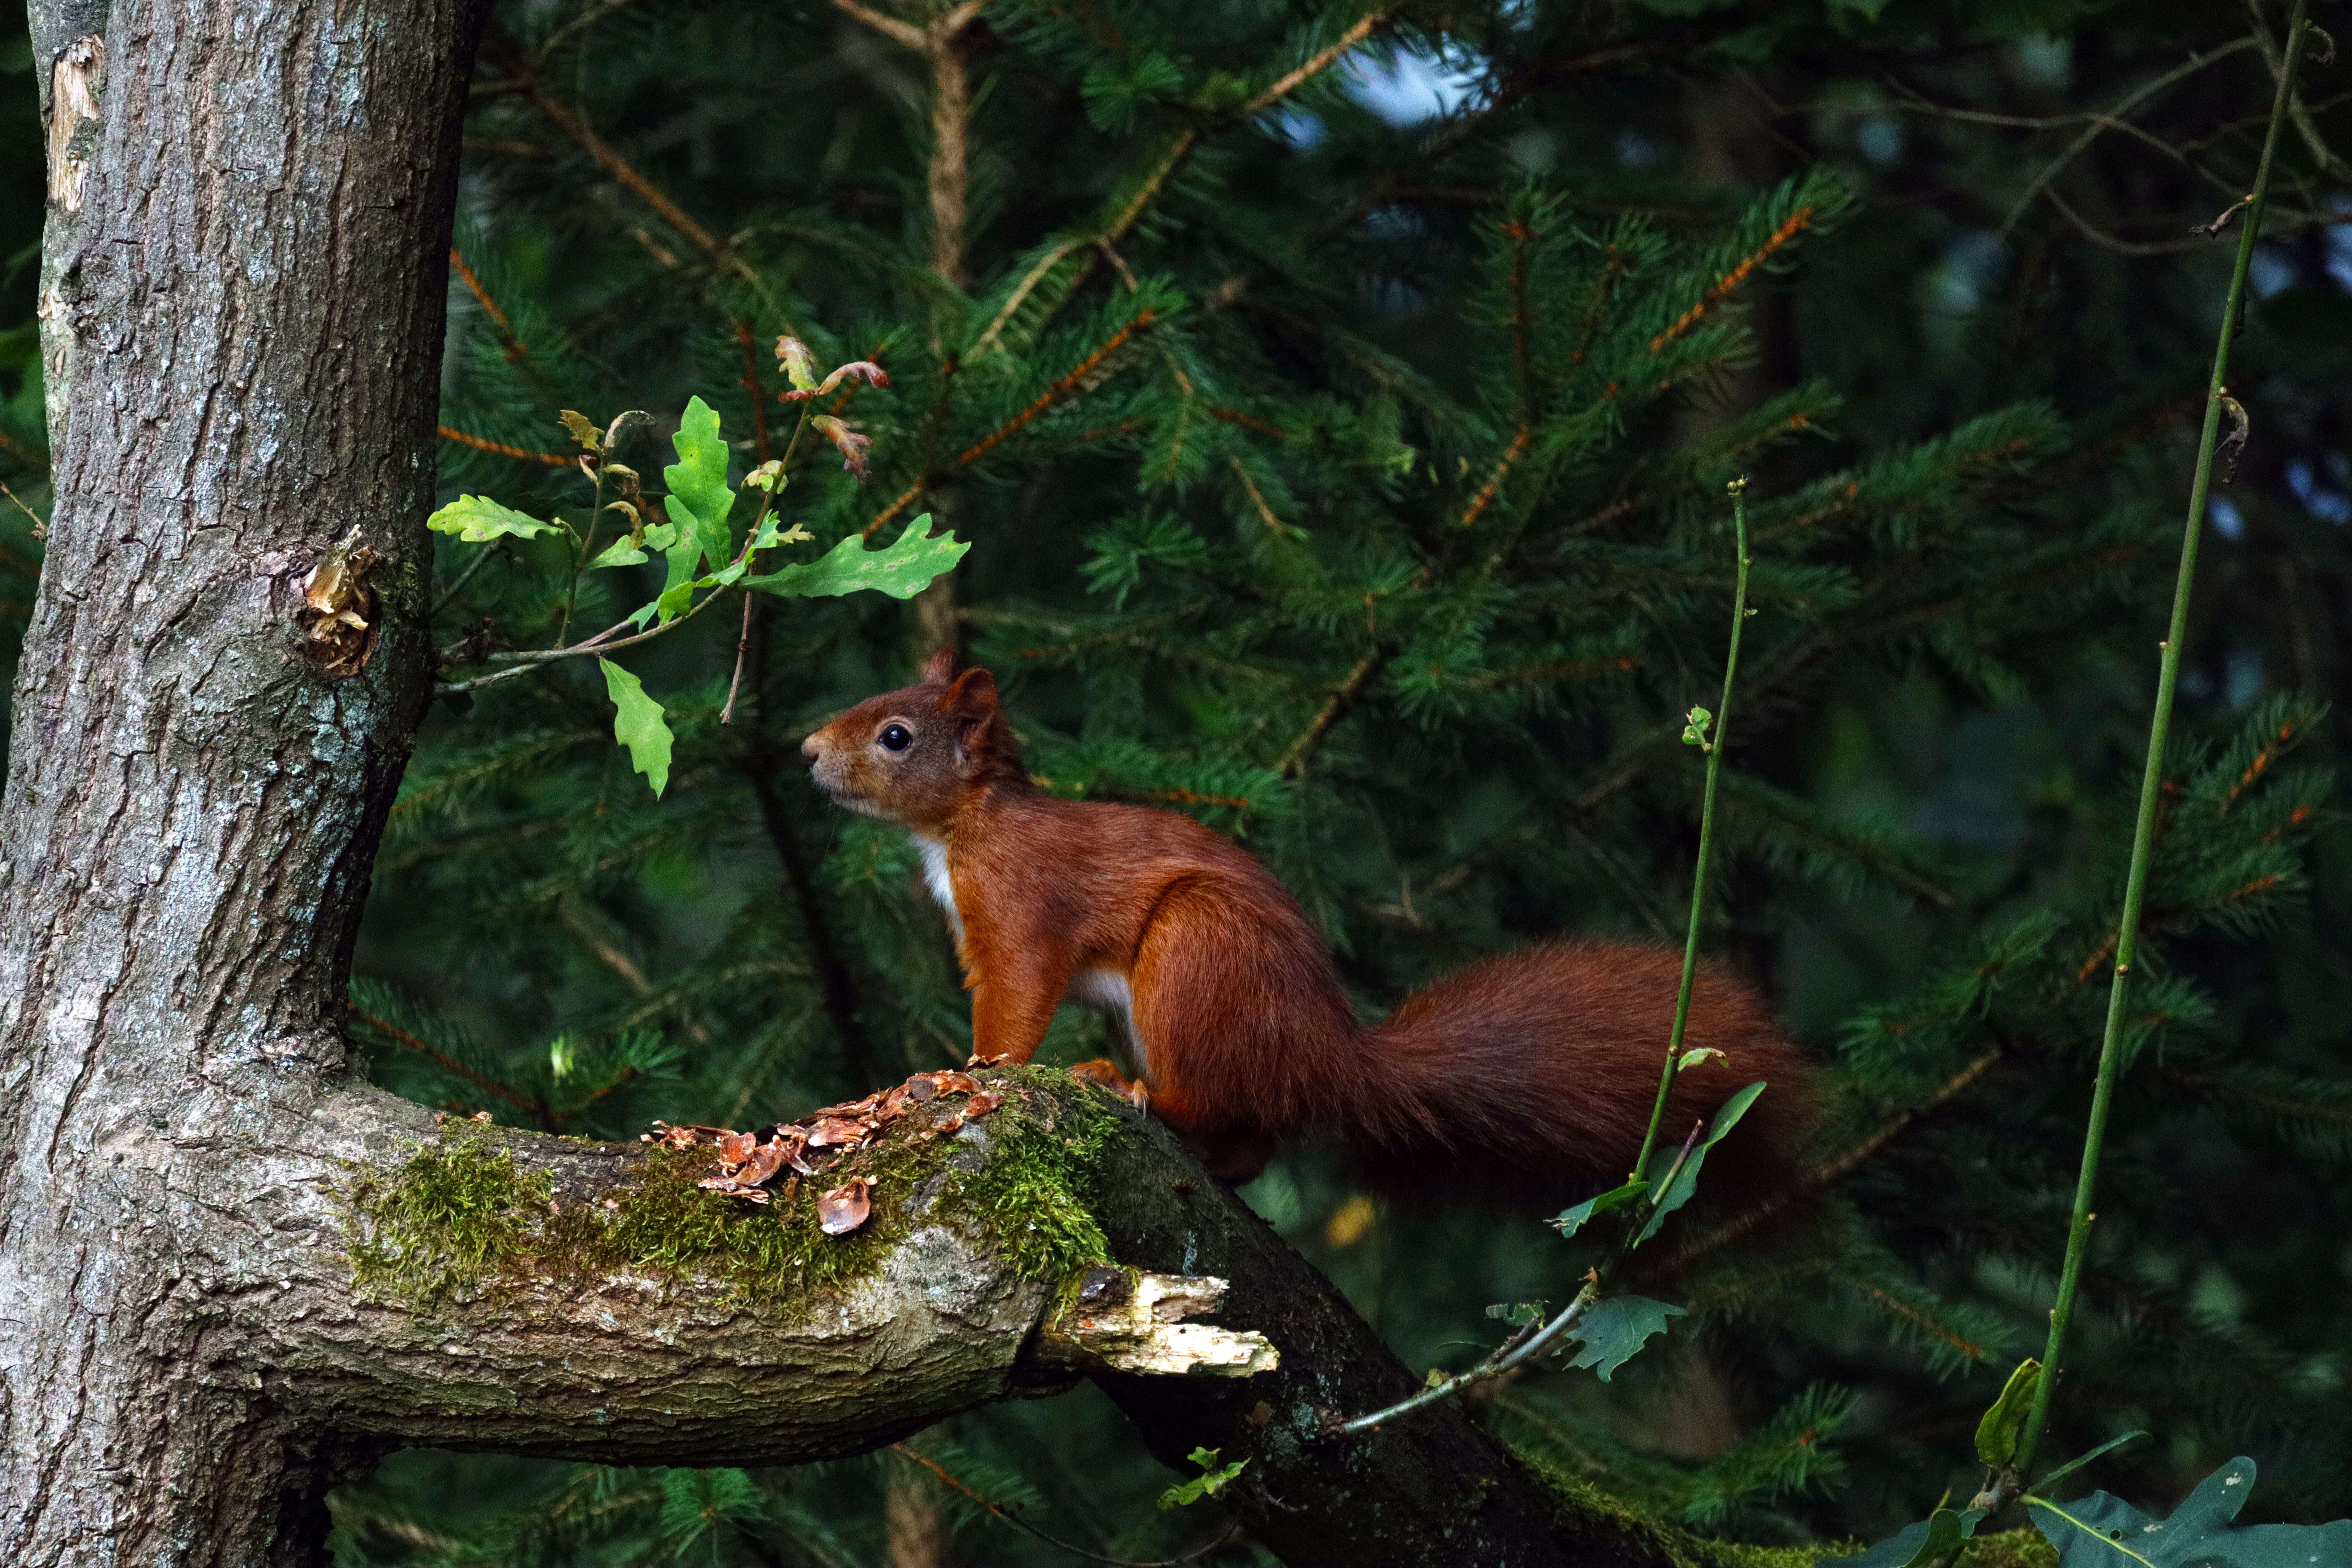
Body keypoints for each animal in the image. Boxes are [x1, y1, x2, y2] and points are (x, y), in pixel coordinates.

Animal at [799, 658, 1806, 1213]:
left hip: (1198, 954)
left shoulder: (1018, 908)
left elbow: (1014, 1000)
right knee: (1253, 1143)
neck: (965, 825)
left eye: (895, 736)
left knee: (1210, 1102)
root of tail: (1328, 1052)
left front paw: (978, 1071)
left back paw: (1128, 1089)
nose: (806, 751)